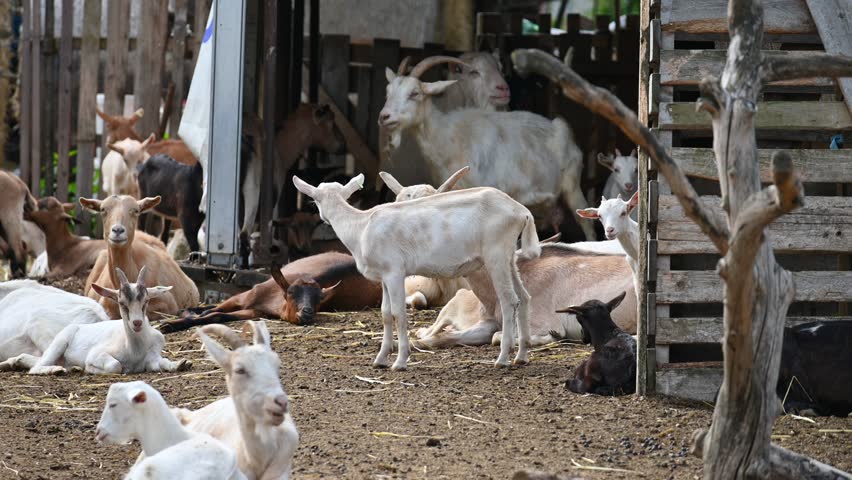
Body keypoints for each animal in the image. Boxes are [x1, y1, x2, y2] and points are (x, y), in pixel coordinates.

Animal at [0, 266, 191, 375]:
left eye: (146, 301)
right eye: (121, 303)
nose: (137, 323)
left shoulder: (152, 356)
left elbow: (161, 363)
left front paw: (182, 363)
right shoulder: (99, 354)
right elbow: (114, 366)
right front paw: (91, 368)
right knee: (38, 365)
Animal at [162, 251, 382, 332]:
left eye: (319, 300)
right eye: (291, 292)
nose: (307, 313)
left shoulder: (255, 311)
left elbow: (218, 316)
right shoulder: (243, 296)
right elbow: (214, 310)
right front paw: (171, 323)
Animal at [293, 173, 540, 369]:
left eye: (313, 200)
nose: (323, 219)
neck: (360, 228)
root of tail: (522, 211)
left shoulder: (394, 271)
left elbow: (398, 313)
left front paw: (400, 361)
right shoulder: (383, 276)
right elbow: (385, 313)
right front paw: (380, 359)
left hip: (495, 254)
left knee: (509, 300)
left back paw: (502, 359)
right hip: (509, 256)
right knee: (525, 297)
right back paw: (521, 356)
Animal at [380, 56, 594, 241]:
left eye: (414, 93)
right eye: (388, 92)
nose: (384, 117)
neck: (448, 138)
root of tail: (559, 127)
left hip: (573, 186)